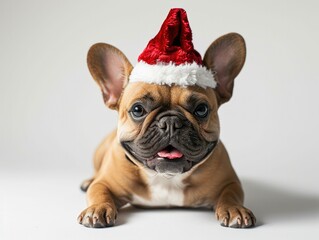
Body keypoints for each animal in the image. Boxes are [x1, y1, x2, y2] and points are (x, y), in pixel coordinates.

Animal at [78, 8, 258, 228]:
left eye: (201, 109)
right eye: (138, 109)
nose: (171, 122)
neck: (167, 179)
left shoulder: (230, 181)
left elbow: (231, 194)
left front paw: (235, 210)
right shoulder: (105, 182)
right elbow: (99, 191)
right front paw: (98, 208)